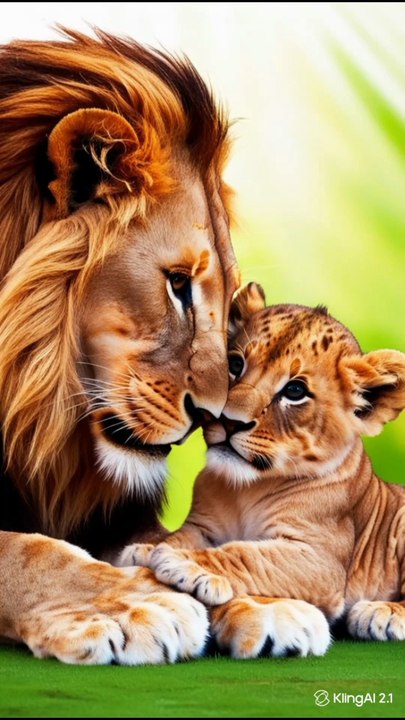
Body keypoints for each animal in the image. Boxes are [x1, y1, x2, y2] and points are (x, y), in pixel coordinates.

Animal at [0, 29, 330, 665]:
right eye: (177, 285)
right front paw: (133, 604)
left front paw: (261, 600)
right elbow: (24, 550)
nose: (210, 417)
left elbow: (168, 541)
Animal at [121, 282, 405, 650]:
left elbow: (250, 554)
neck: (247, 488)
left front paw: (184, 562)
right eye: (235, 364)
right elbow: (180, 537)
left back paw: (382, 613)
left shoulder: (319, 560)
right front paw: (147, 549)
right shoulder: (202, 526)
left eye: (295, 390)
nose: (229, 421)